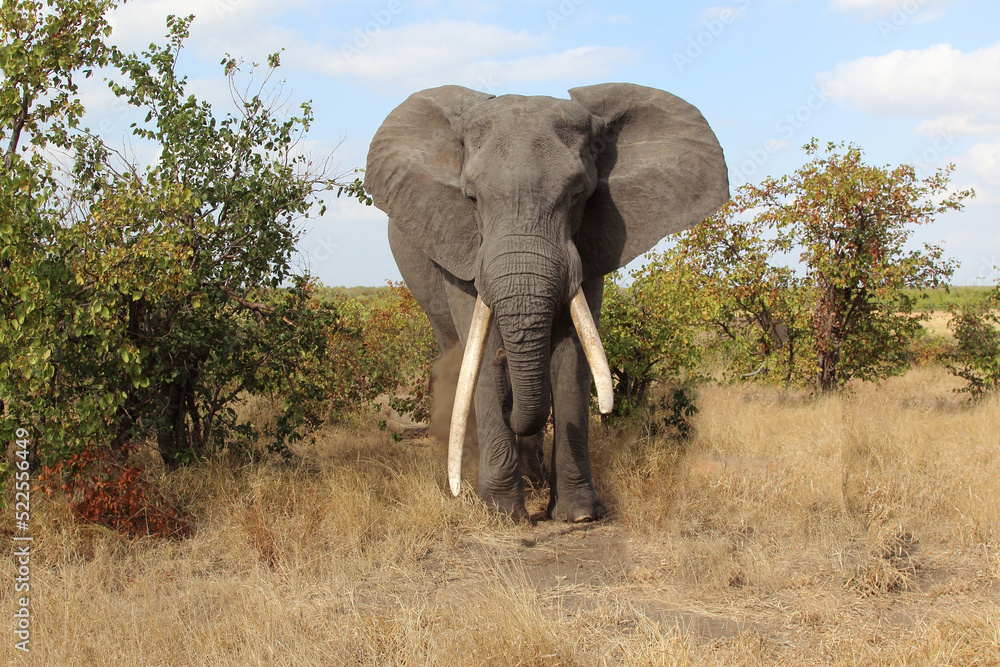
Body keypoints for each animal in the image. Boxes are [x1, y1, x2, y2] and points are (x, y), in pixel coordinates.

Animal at [365, 83, 728, 521]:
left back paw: (535, 479)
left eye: (578, 196)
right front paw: (500, 514)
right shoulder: (460, 244)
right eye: (471, 199)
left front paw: (580, 515)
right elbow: (479, 350)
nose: (504, 360)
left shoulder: (590, 244)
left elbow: (574, 353)